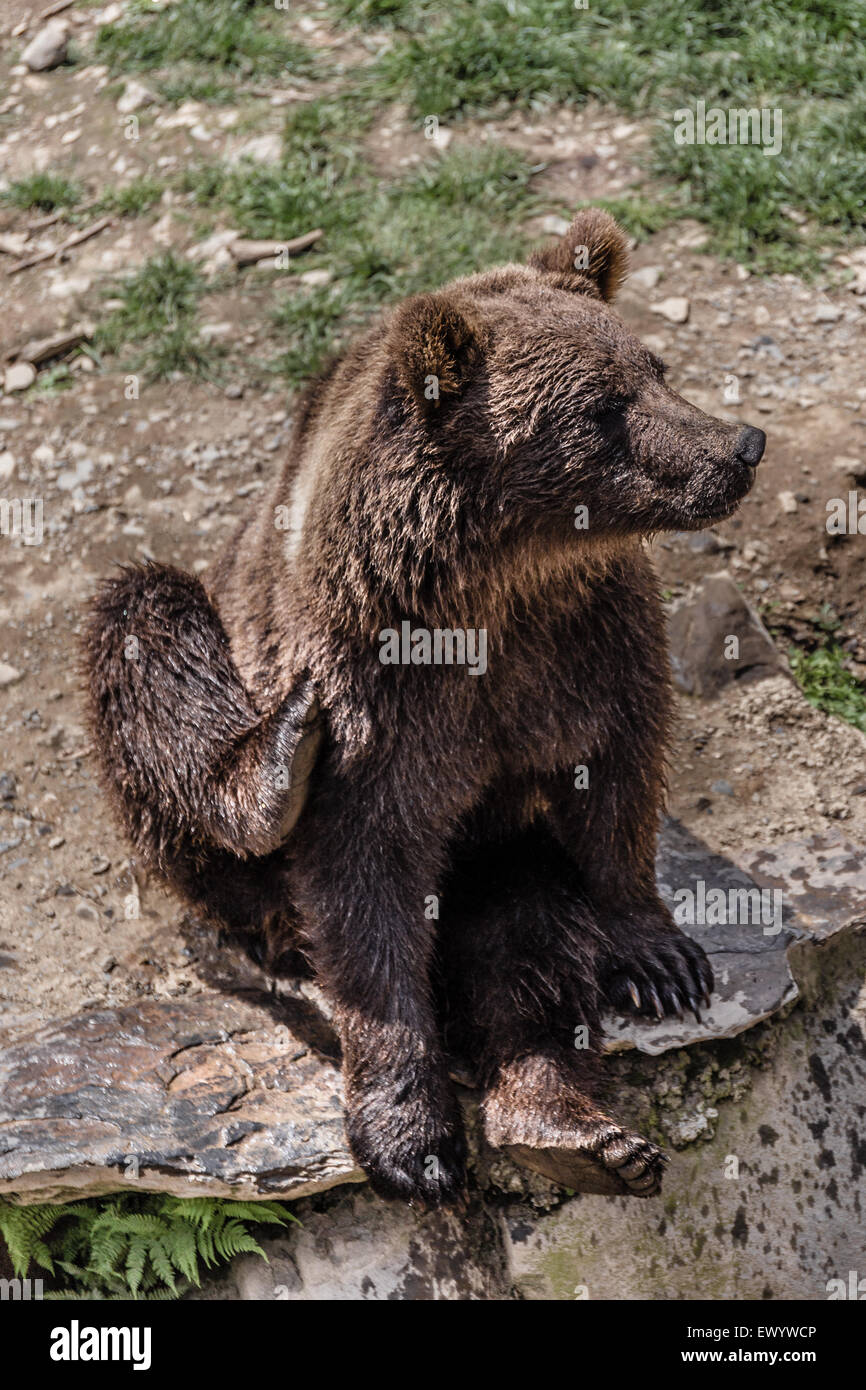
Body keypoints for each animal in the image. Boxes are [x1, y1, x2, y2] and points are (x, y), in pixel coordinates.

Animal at [84, 205, 767, 1206]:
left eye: (657, 368)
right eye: (604, 409)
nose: (740, 448)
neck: (497, 589)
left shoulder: (591, 641)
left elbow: (617, 777)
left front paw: (661, 958)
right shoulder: (380, 685)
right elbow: (364, 878)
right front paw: (411, 1140)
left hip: (497, 854)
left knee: (525, 943)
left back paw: (572, 1130)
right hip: (218, 709)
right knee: (143, 628)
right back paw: (269, 784)